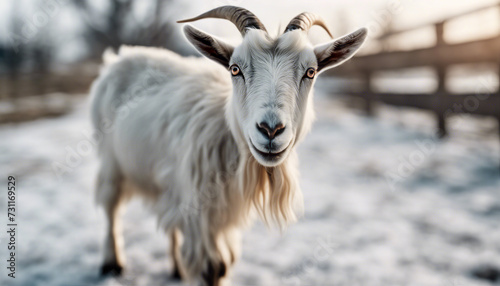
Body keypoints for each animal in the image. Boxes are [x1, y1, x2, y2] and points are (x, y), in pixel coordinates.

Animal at [89, 5, 368, 286]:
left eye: (310, 72)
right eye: (235, 69)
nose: (270, 130)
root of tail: (119, 56)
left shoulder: (220, 213)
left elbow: (224, 264)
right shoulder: (199, 213)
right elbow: (213, 268)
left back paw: (177, 268)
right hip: (111, 160)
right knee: (111, 208)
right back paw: (112, 263)